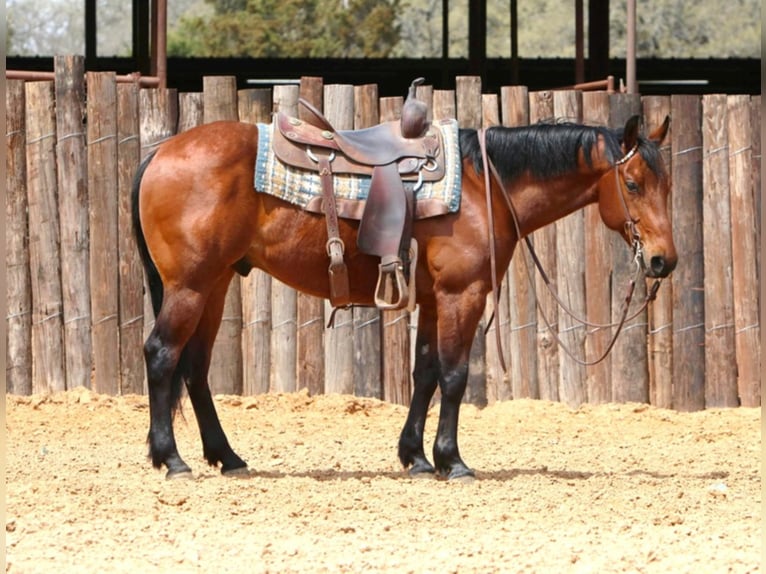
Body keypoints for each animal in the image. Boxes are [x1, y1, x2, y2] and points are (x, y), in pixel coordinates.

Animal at [132, 109, 680, 482]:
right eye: (633, 183)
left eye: (668, 185)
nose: (663, 261)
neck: (483, 185)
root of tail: (161, 152)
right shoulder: (463, 295)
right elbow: (454, 376)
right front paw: (452, 461)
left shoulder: (436, 299)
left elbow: (426, 374)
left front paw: (415, 456)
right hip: (190, 286)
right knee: (162, 355)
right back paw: (171, 458)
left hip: (216, 283)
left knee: (195, 368)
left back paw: (227, 457)